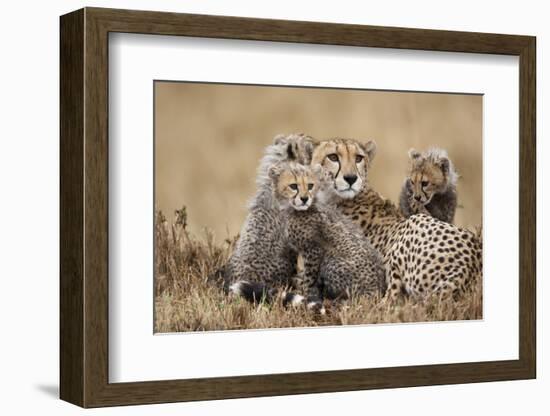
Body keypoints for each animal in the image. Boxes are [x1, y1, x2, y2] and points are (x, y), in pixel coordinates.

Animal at [272, 162, 388, 306]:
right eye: (293, 186)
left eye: (310, 186)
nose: (304, 199)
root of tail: (376, 291)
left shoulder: (313, 249)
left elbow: (309, 278)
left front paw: (307, 295)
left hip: (331, 261)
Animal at [312, 138, 486, 300]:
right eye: (333, 157)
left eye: (358, 158)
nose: (350, 178)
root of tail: (470, 264)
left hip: (413, 227)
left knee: (392, 297)